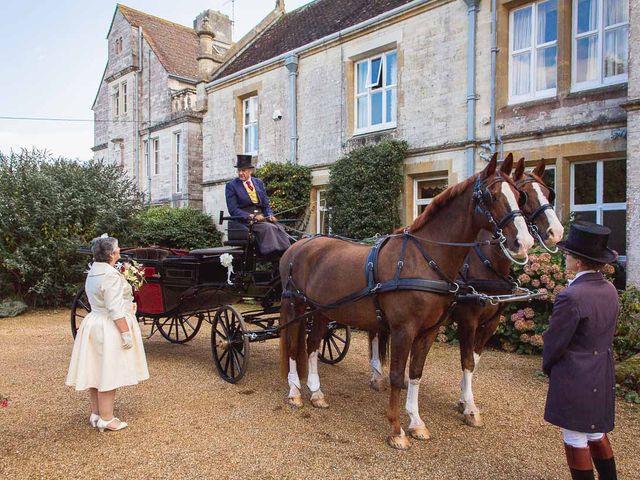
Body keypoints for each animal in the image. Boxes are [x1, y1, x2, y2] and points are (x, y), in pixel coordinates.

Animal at [280, 155, 536, 450]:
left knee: (311, 346)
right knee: (292, 346)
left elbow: (415, 373)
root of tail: (298, 245)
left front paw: (416, 422)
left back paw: (316, 392)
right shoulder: (406, 329)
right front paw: (396, 429)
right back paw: (294, 392)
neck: (423, 259)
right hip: (295, 306)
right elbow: (396, 375)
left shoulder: (430, 331)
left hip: (322, 311)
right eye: (491, 196)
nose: (524, 242)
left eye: (519, 196)